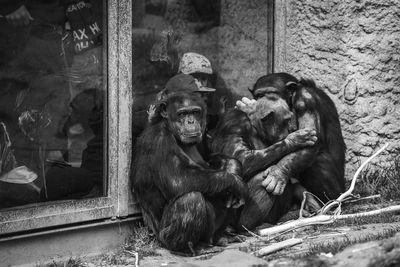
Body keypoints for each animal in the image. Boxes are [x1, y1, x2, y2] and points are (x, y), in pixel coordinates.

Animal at [133, 90, 248, 253]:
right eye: (182, 114)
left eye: (195, 112)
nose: (191, 121)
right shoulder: (158, 141)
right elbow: (179, 180)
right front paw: (237, 184)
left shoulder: (203, 137)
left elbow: (211, 157)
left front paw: (234, 167)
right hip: (164, 238)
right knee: (191, 198)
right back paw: (190, 248)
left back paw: (223, 237)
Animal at [211, 94, 318, 230]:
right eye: (286, 120)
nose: (292, 128)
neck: (255, 127)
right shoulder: (233, 123)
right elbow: (242, 158)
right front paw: (295, 139)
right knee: (260, 178)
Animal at [250, 72, 346, 204]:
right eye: (259, 95)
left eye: (271, 93)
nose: (263, 101)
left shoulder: (306, 100)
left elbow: (311, 143)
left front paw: (278, 173)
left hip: (338, 190)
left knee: (317, 159)